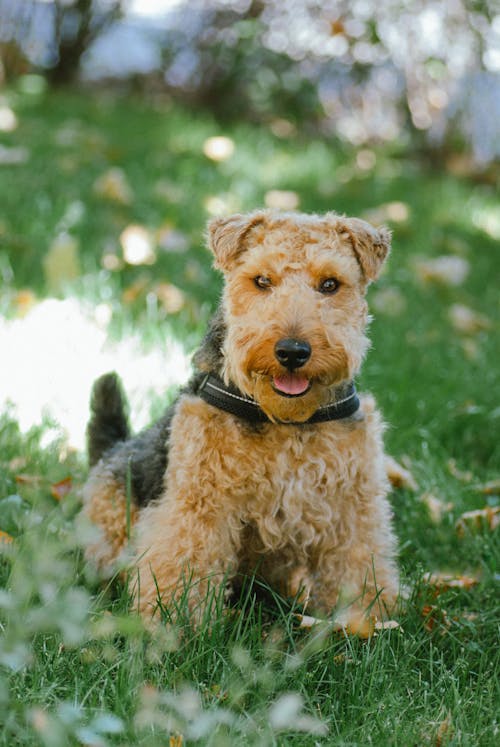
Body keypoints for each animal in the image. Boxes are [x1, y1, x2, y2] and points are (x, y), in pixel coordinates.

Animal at [84, 207, 400, 628]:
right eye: (262, 280)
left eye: (331, 284)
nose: (292, 351)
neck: (287, 422)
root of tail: (111, 450)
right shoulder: (201, 500)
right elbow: (184, 557)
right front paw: (176, 623)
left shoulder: (352, 504)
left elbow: (359, 561)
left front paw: (366, 620)